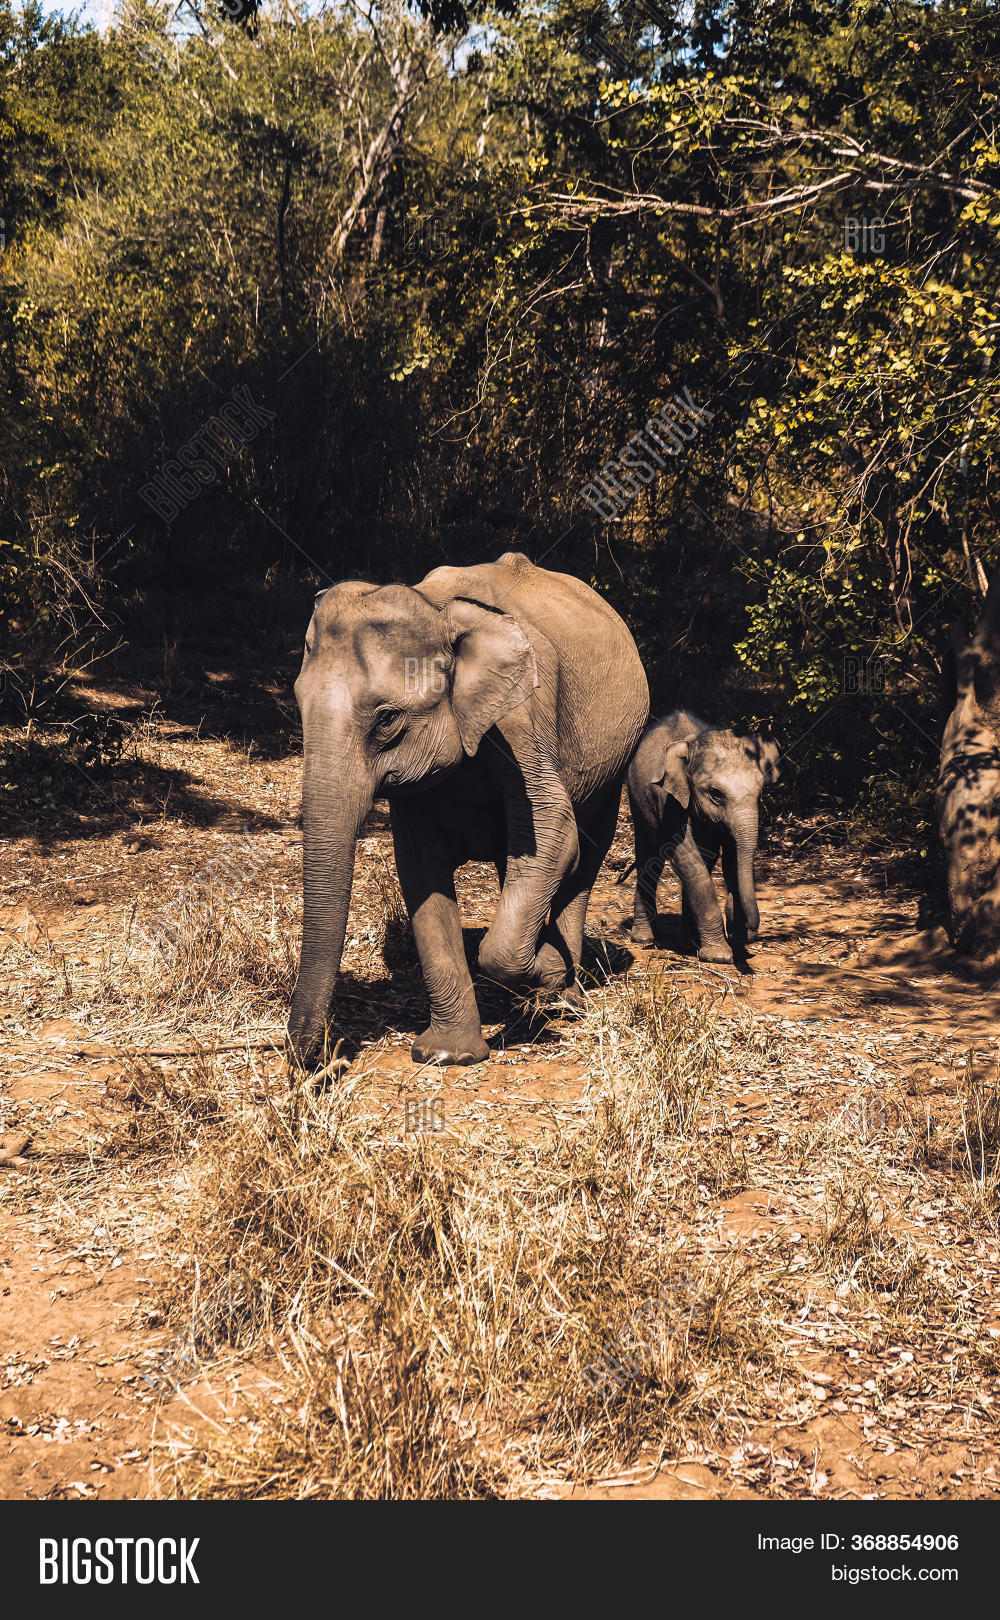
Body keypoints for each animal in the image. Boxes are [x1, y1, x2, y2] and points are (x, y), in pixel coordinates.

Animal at [287, 551, 649, 1069]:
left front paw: (543, 970)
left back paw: (561, 997)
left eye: (387, 719)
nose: (319, 1058)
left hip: (617, 758)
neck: (438, 610)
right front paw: (447, 1054)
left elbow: (556, 831)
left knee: (583, 853)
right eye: (298, 703)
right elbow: (421, 871)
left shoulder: (523, 717)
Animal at [626, 710, 779, 962]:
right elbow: (687, 858)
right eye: (715, 793)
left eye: (760, 791)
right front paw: (719, 956)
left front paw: (732, 937)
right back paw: (644, 938)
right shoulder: (669, 799)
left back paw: (687, 944)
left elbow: (730, 861)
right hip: (635, 798)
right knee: (649, 859)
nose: (750, 933)